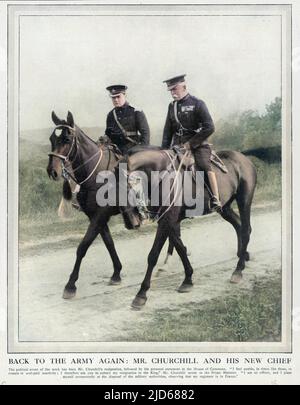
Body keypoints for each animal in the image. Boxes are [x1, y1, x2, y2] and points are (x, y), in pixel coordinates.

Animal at [118, 147, 258, 308]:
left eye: (126, 188)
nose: (131, 223)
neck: (161, 176)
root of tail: (245, 159)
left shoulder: (167, 220)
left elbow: (153, 255)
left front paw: (141, 294)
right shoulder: (168, 221)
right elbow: (180, 248)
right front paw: (187, 280)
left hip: (244, 200)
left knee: (246, 230)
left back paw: (238, 270)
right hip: (225, 207)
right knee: (238, 226)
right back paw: (243, 256)